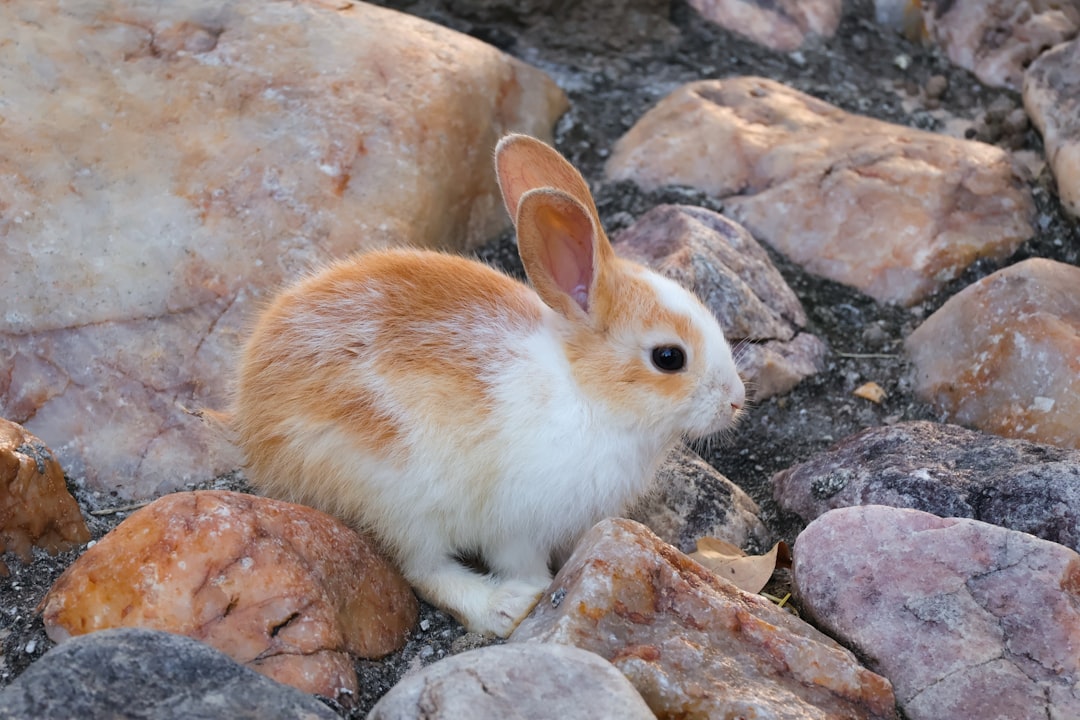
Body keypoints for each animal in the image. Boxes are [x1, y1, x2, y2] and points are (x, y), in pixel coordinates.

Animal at [229, 134, 745, 637]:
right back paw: (503, 608)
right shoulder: (516, 523)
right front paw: (537, 586)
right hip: (398, 498)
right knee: (424, 569)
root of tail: (255, 421)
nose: (737, 402)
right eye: (668, 358)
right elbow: (516, 560)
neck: (584, 391)